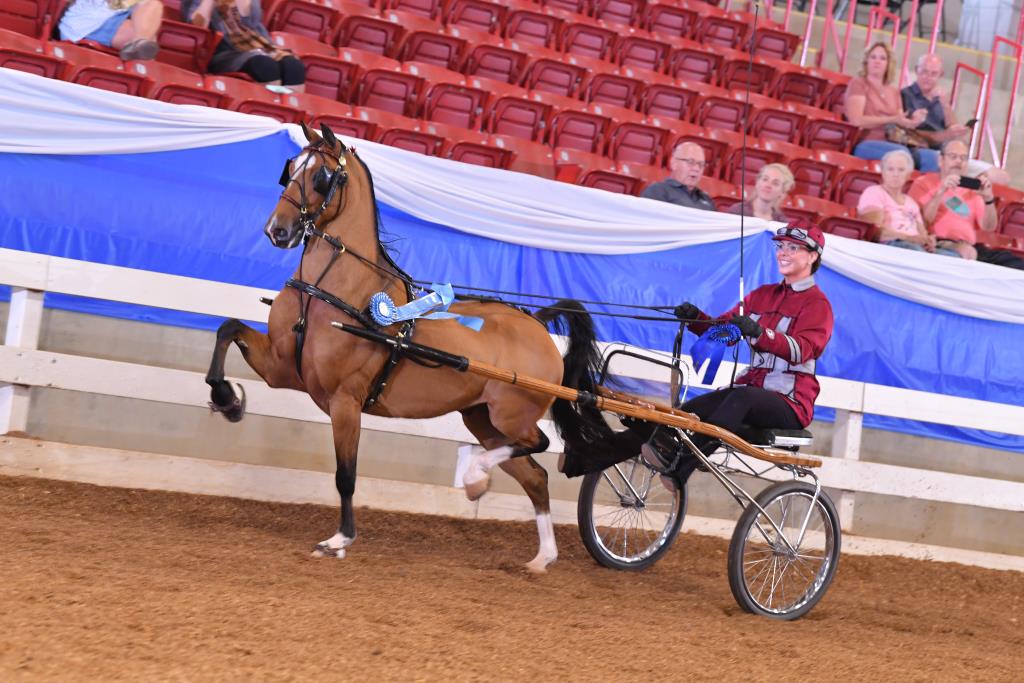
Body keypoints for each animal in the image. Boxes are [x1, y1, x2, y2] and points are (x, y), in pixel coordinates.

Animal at [204, 122, 606, 573]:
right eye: (290, 169)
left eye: (321, 175)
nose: (277, 231)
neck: (332, 291)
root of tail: (536, 323)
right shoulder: (281, 368)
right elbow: (227, 330)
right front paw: (227, 400)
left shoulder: (345, 400)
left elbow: (346, 474)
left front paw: (340, 538)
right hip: (482, 419)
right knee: (534, 475)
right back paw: (540, 555)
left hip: (511, 414)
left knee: (535, 445)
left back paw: (475, 476)